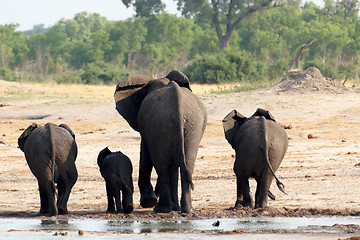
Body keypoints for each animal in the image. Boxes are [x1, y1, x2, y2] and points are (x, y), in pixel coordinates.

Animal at [114, 70, 207, 213]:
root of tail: (179, 106)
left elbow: (145, 156)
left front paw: (148, 201)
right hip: (192, 124)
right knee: (186, 164)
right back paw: (185, 210)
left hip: (162, 124)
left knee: (162, 166)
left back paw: (161, 209)